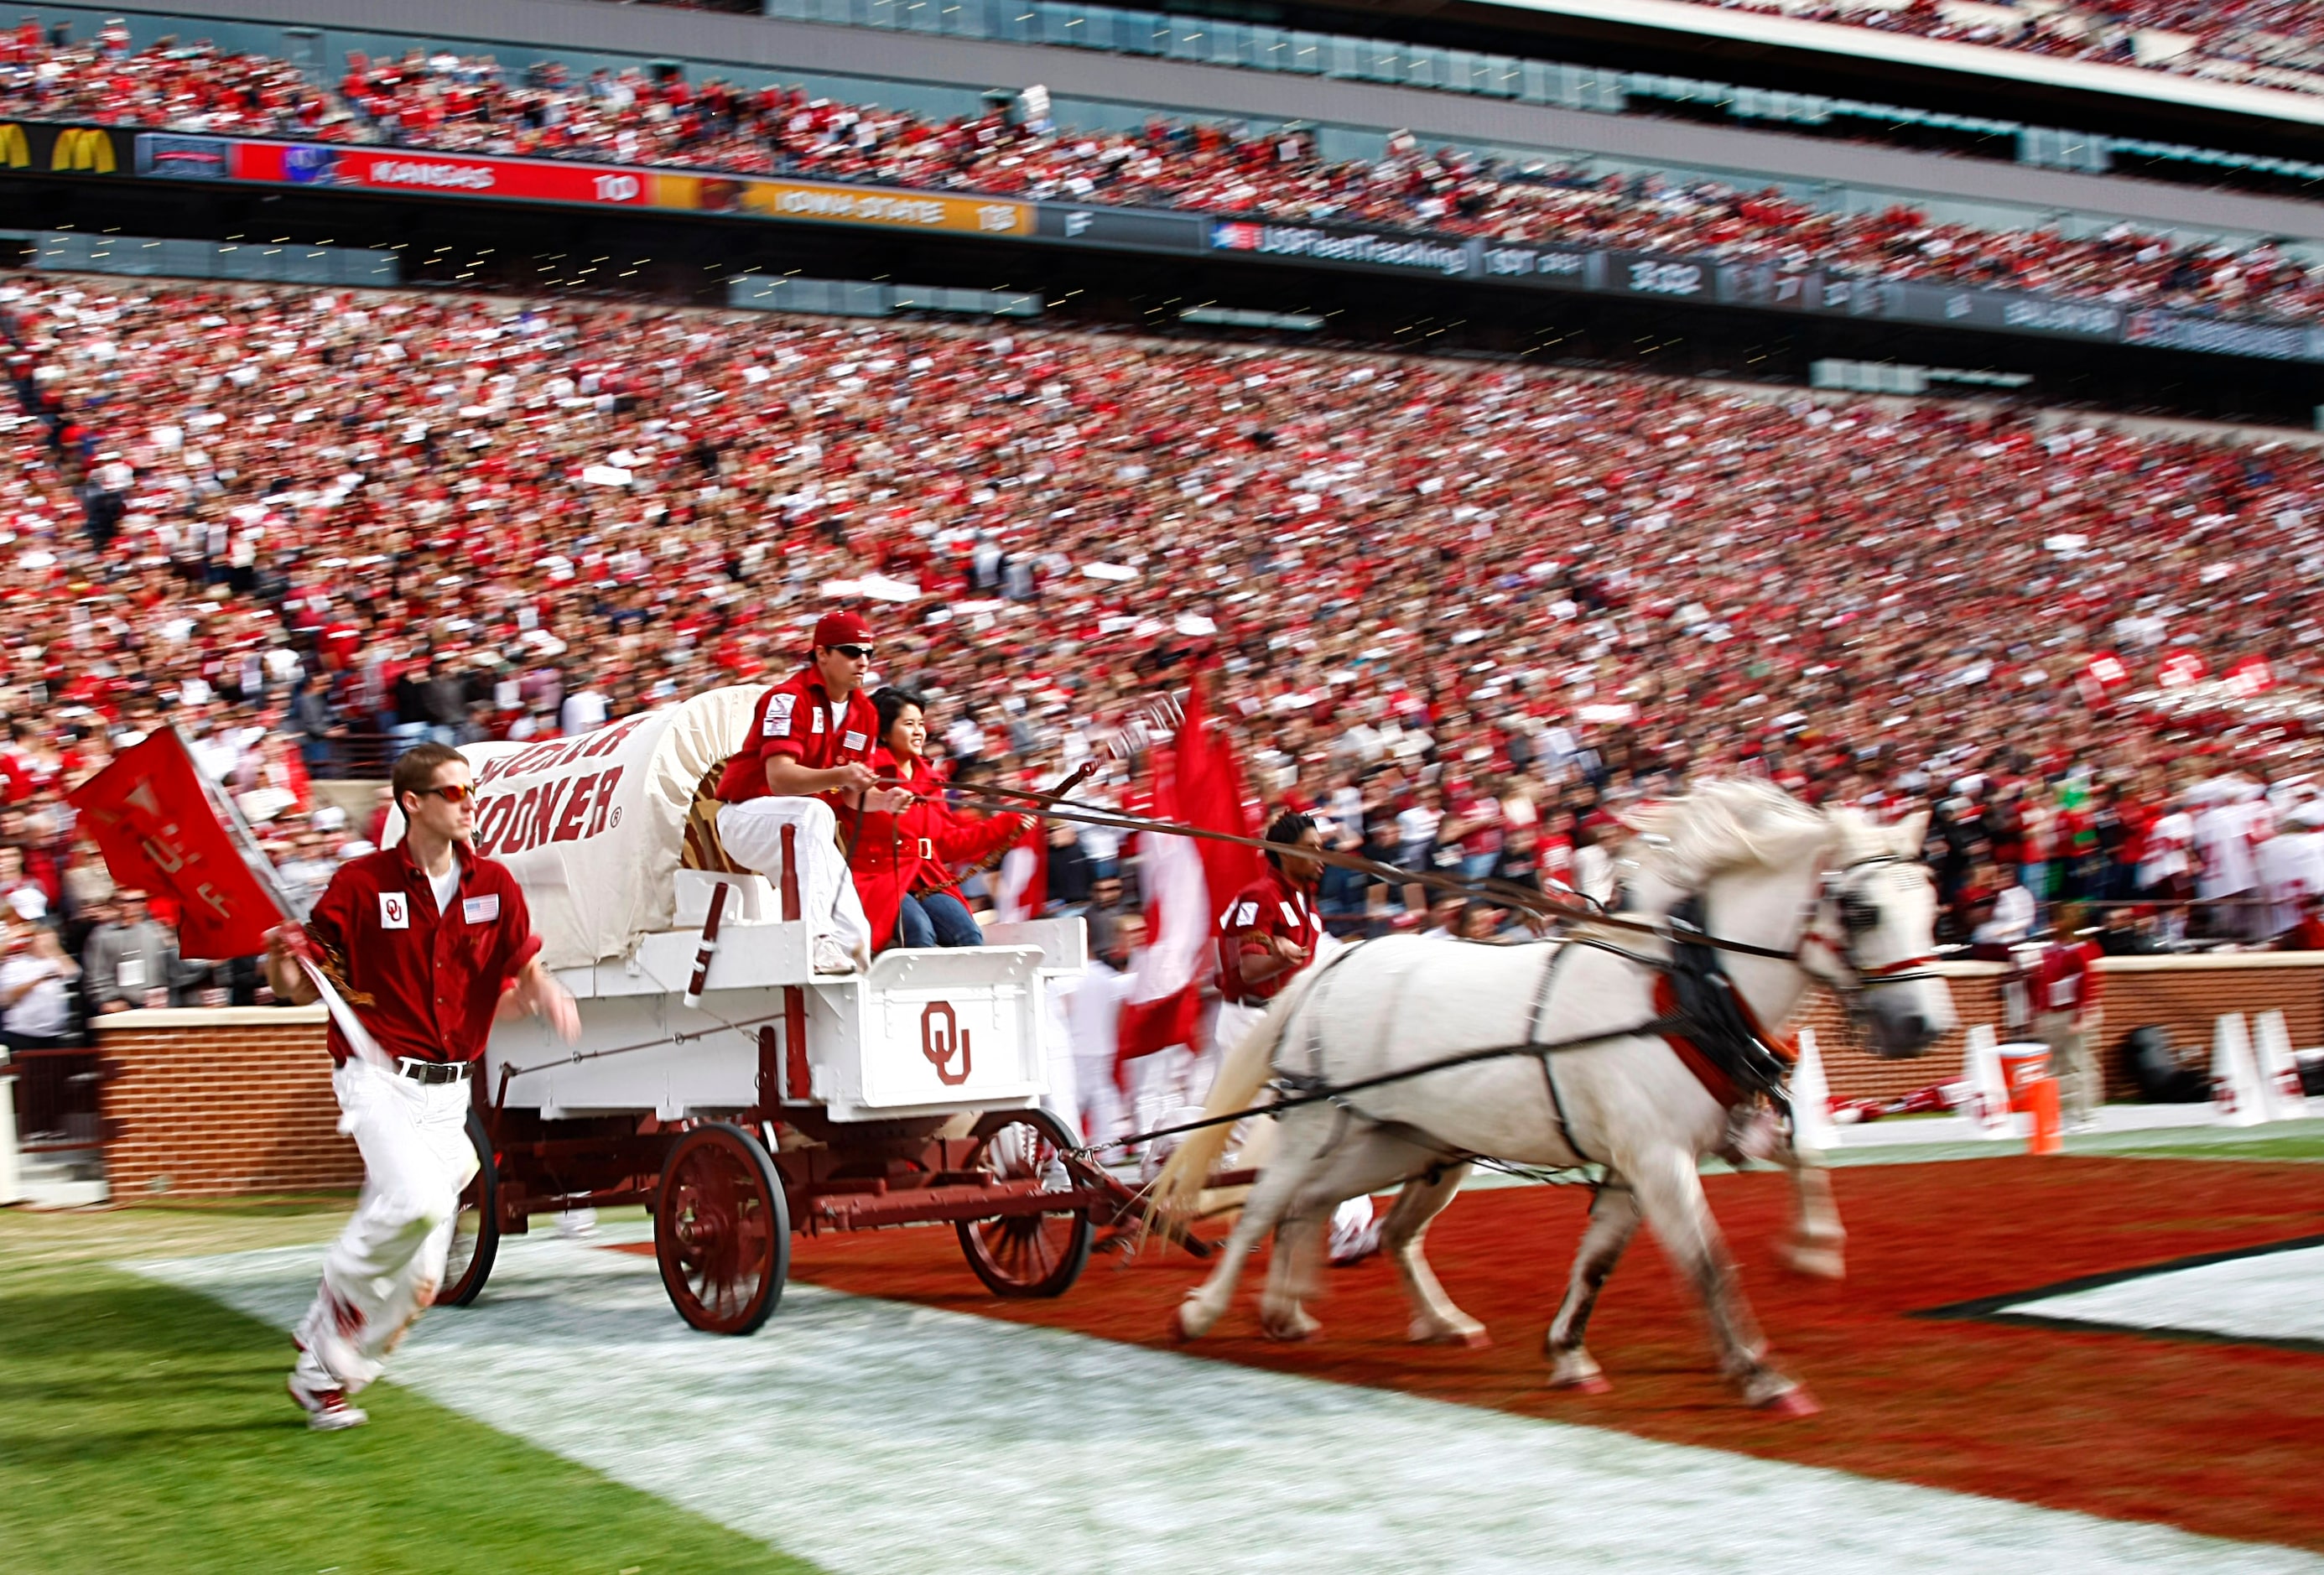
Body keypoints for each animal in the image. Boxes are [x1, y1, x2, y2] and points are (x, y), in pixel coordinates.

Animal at [1152, 785, 1952, 1412]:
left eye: (1931, 902)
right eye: (1861, 910)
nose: (1924, 1026)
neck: (1680, 996)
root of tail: (1333, 965)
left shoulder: (1642, 1161)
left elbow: (1601, 1257)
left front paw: (1569, 1351)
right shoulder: (1657, 1157)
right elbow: (1706, 1261)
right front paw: (1761, 1373)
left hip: (1406, 1141)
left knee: (1350, 1217)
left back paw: (1341, 1314)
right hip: (1318, 1123)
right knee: (1265, 1207)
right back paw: (1204, 1312)